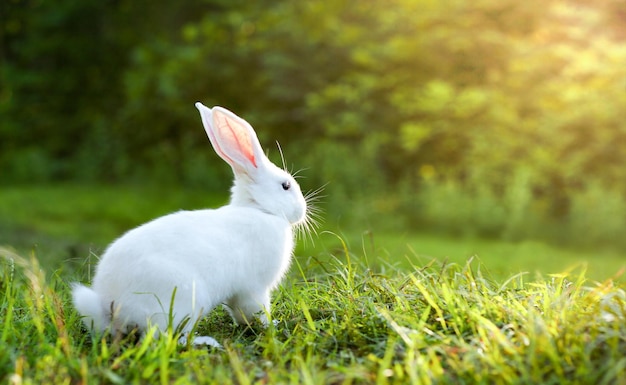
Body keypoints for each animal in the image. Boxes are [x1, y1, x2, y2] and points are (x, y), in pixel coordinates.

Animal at [73, 101, 308, 344]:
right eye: (286, 186)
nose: (302, 210)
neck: (260, 209)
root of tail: (112, 309)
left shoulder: (239, 295)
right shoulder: (254, 289)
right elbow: (257, 312)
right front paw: (273, 325)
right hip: (183, 302)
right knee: (165, 337)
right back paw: (206, 342)